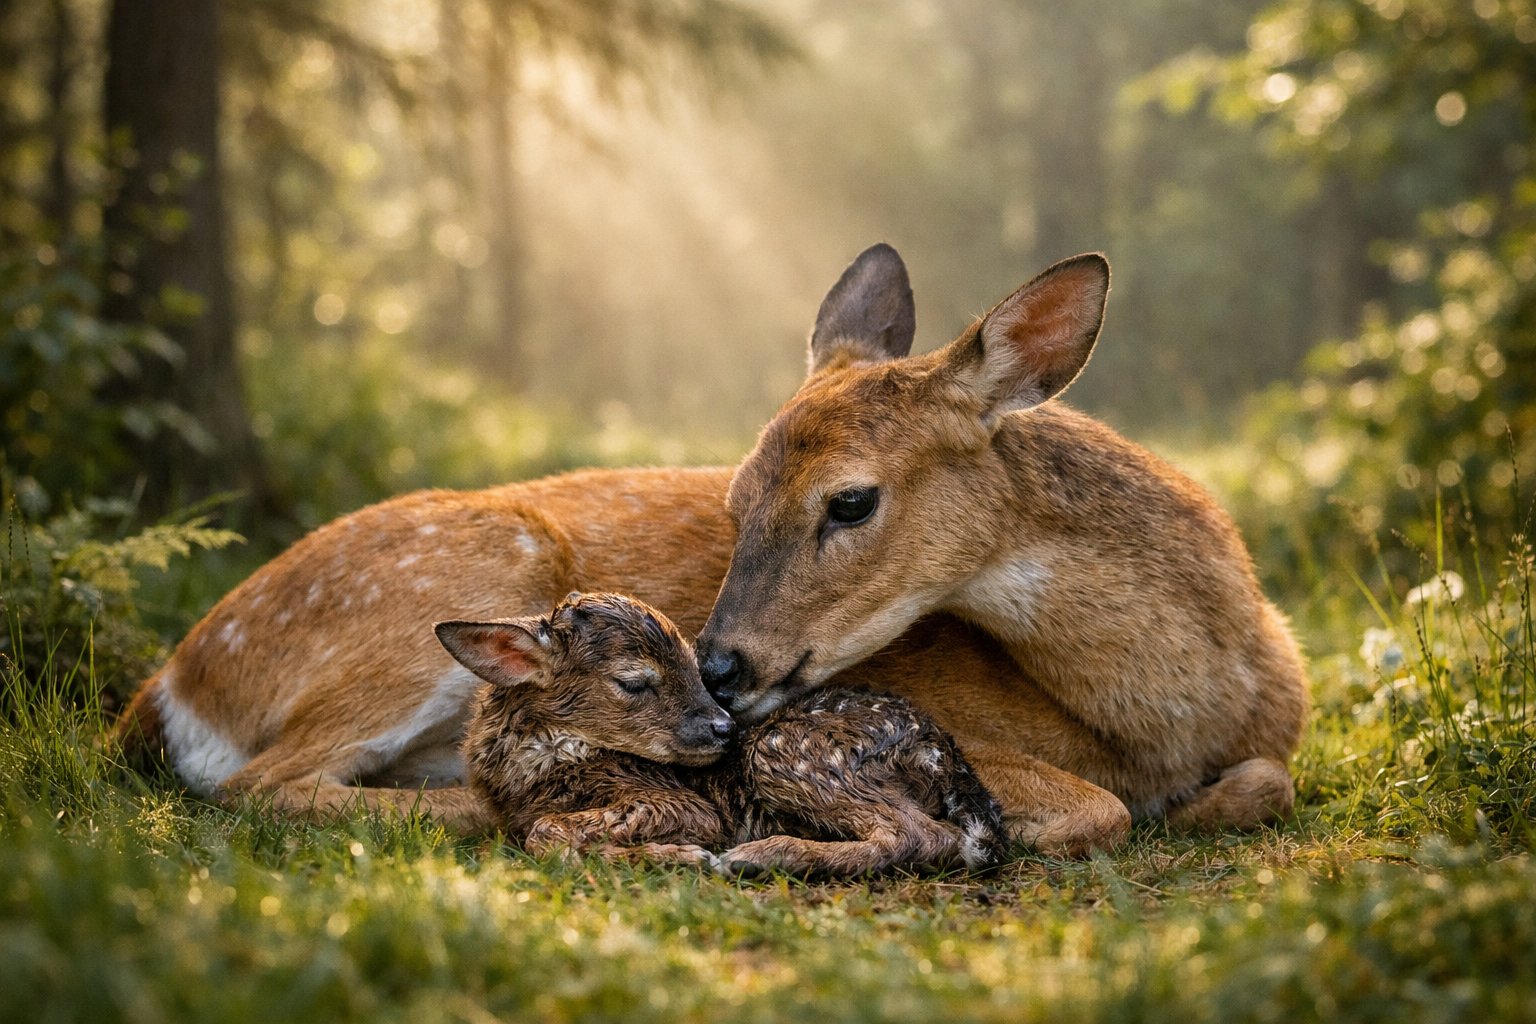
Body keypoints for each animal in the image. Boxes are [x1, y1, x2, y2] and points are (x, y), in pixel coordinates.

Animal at [442, 591, 1008, 875]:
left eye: (694, 667)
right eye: (633, 682)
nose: (724, 729)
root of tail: (942, 754)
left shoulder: (683, 803)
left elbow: (546, 832)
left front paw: (680, 856)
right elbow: (543, 833)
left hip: (790, 753)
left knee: (925, 835)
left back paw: (760, 858)